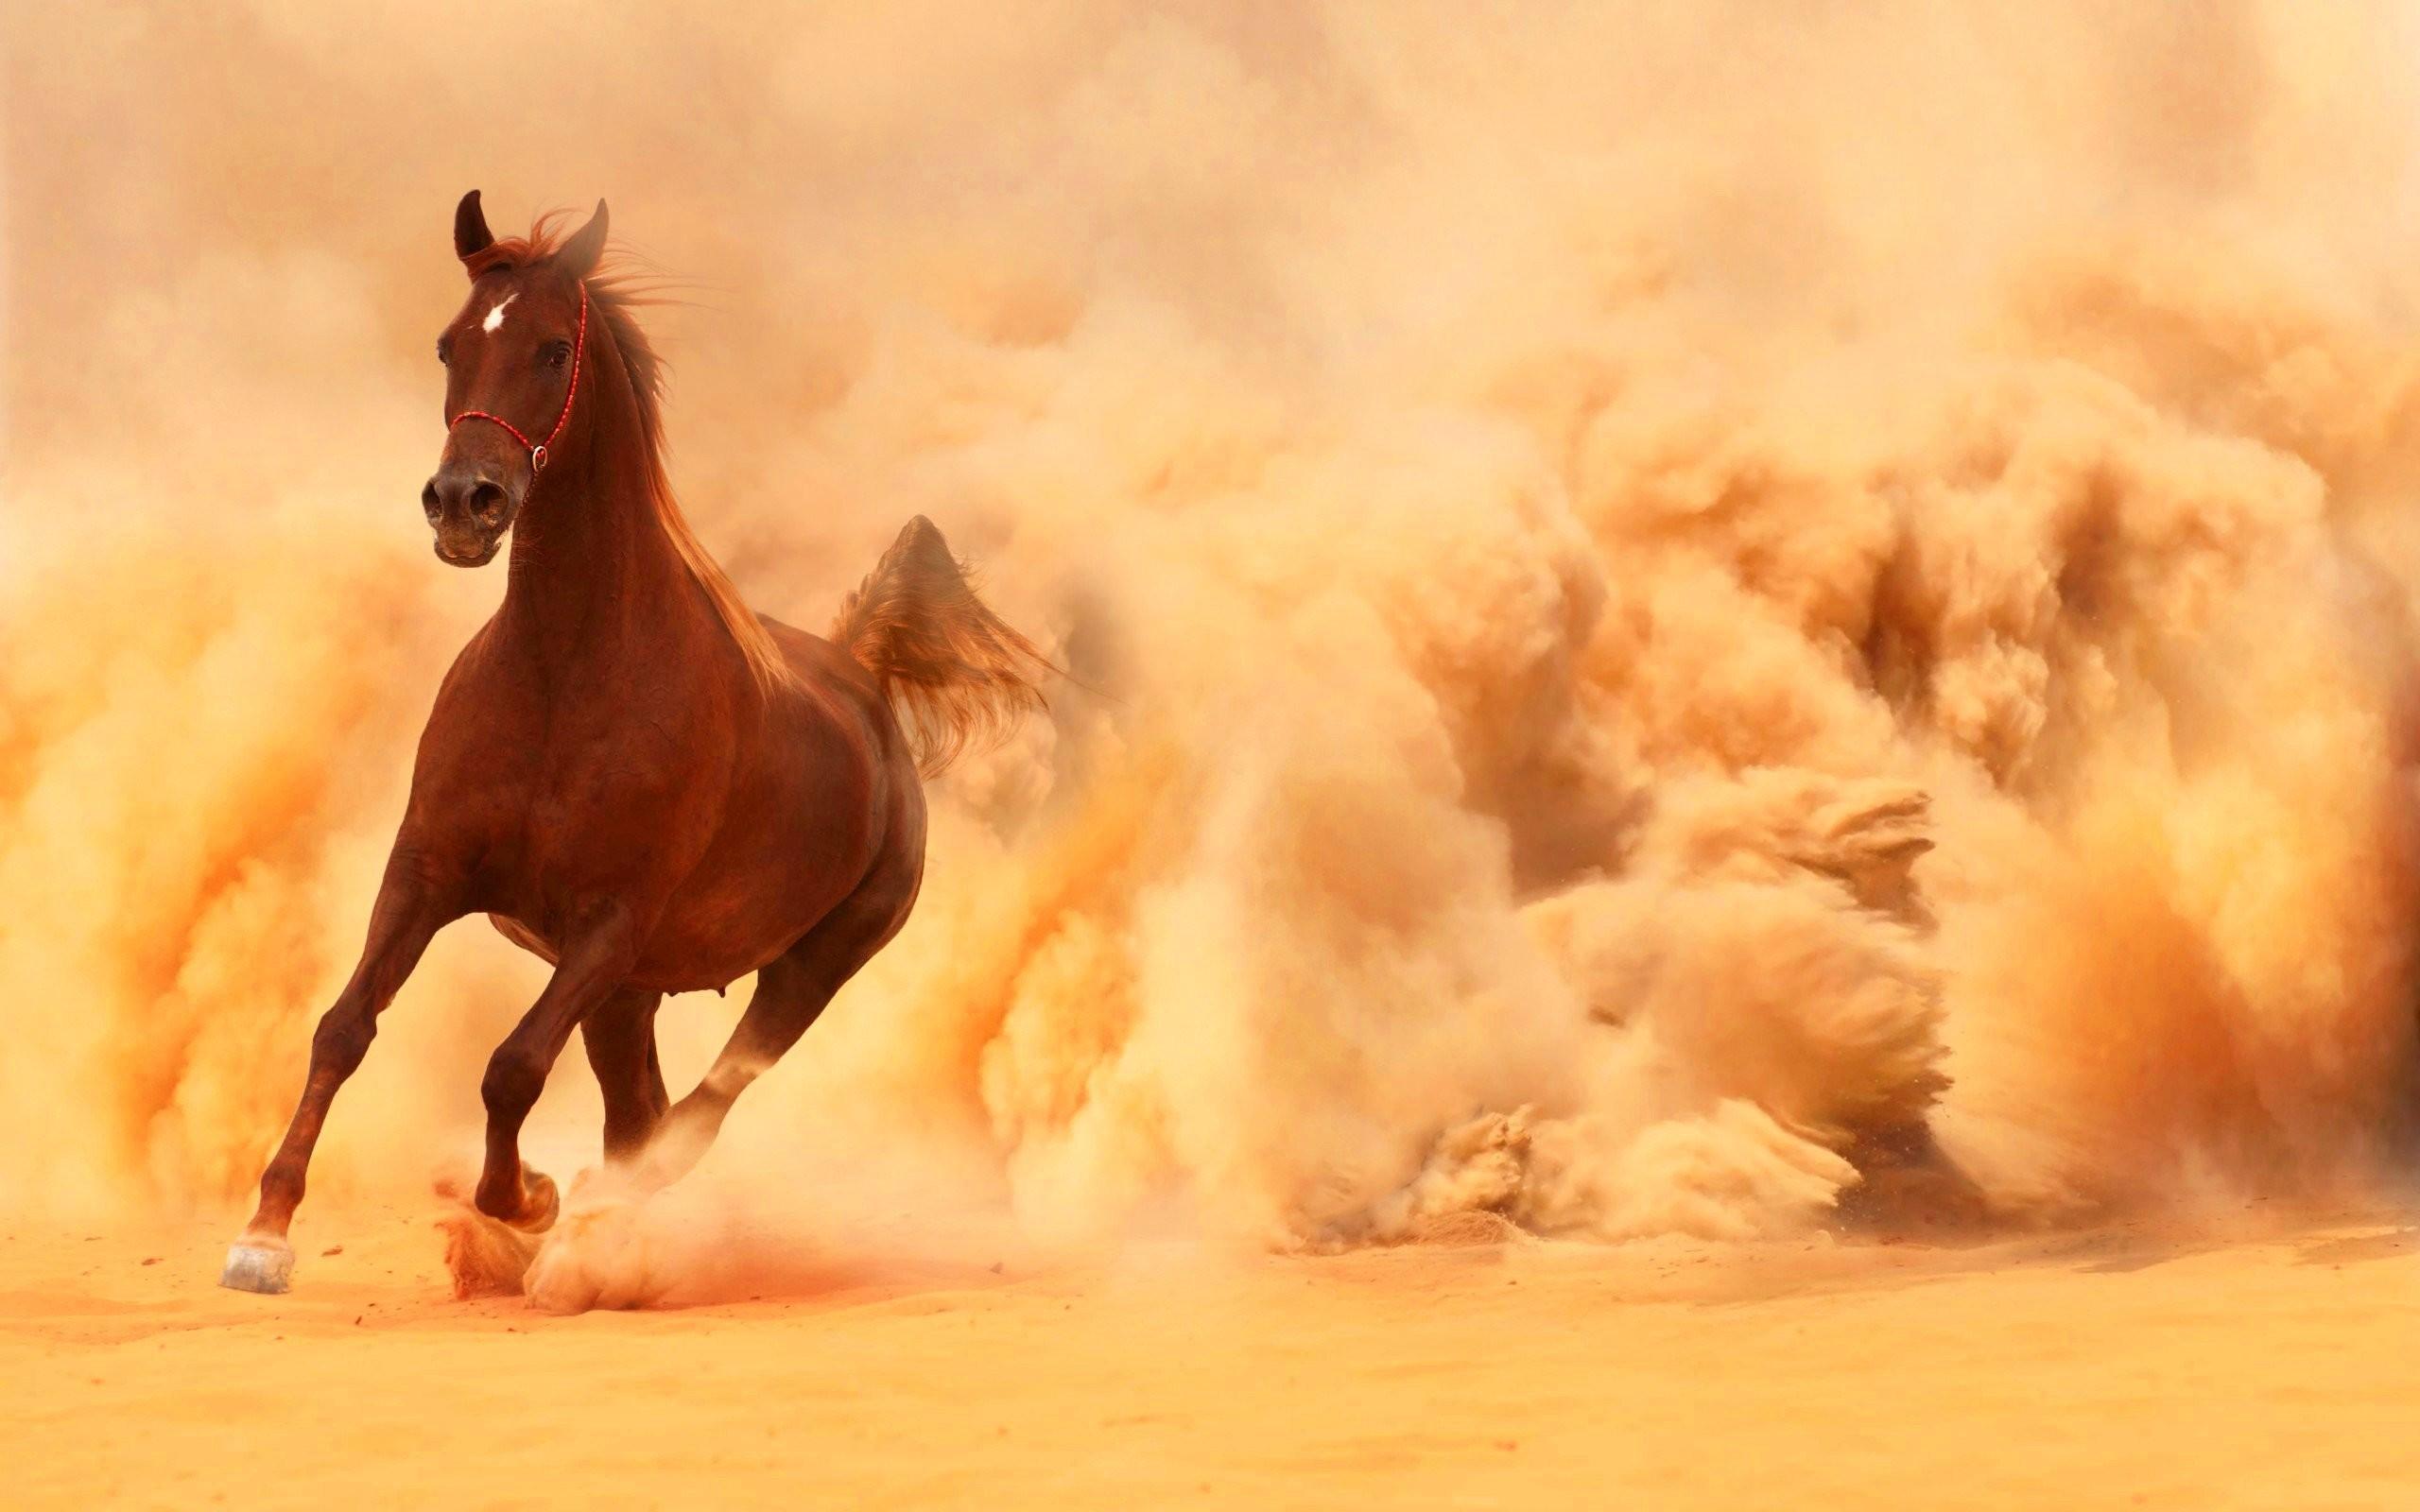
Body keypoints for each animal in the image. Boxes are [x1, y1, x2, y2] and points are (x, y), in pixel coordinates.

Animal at [221, 192, 1047, 1294]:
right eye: (449, 343)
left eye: (552, 348)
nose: (464, 503)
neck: (565, 677)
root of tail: (862, 676)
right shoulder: (428, 872)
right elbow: (344, 1027)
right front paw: (264, 1235)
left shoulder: (609, 922)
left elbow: (512, 1066)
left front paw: (528, 1199)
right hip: (632, 997)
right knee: (640, 1110)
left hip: (808, 967)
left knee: (694, 1117)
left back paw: (595, 1233)